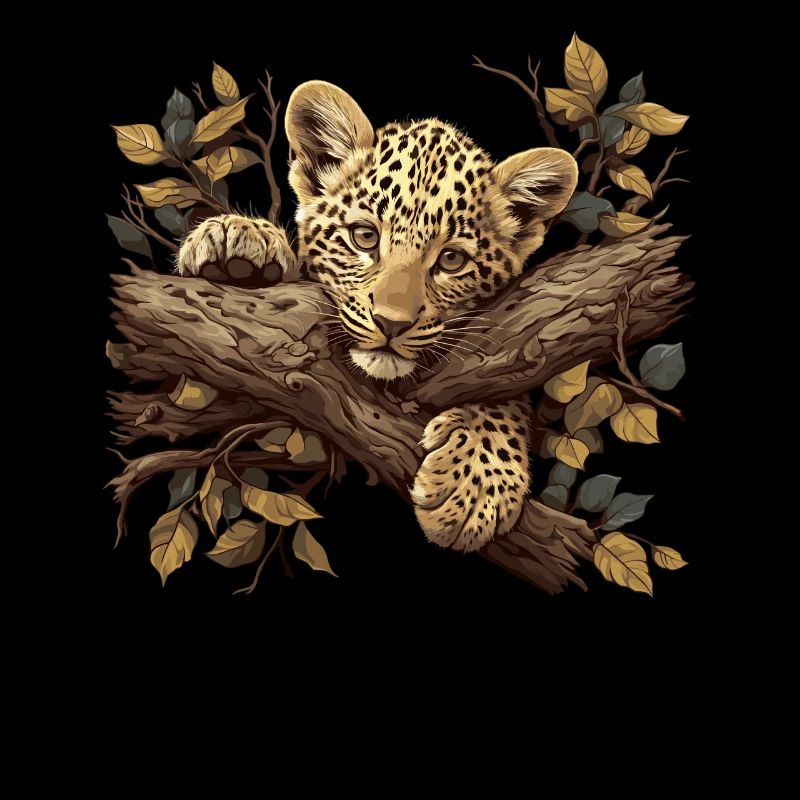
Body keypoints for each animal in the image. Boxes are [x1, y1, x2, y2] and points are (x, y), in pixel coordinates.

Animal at [178, 80, 578, 553]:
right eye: (365, 237)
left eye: (452, 260)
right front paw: (238, 240)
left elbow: (506, 387)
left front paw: (474, 483)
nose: (392, 323)